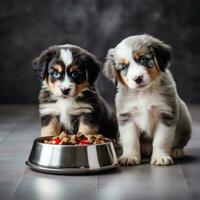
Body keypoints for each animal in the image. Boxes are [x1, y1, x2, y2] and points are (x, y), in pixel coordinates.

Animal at [104, 34, 191, 166]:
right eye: (124, 67)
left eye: (143, 59)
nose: (137, 78)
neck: (144, 93)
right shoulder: (127, 116)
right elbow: (131, 140)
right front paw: (129, 157)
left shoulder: (165, 115)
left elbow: (161, 140)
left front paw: (161, 157)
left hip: (185, 120)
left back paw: (176, 151)